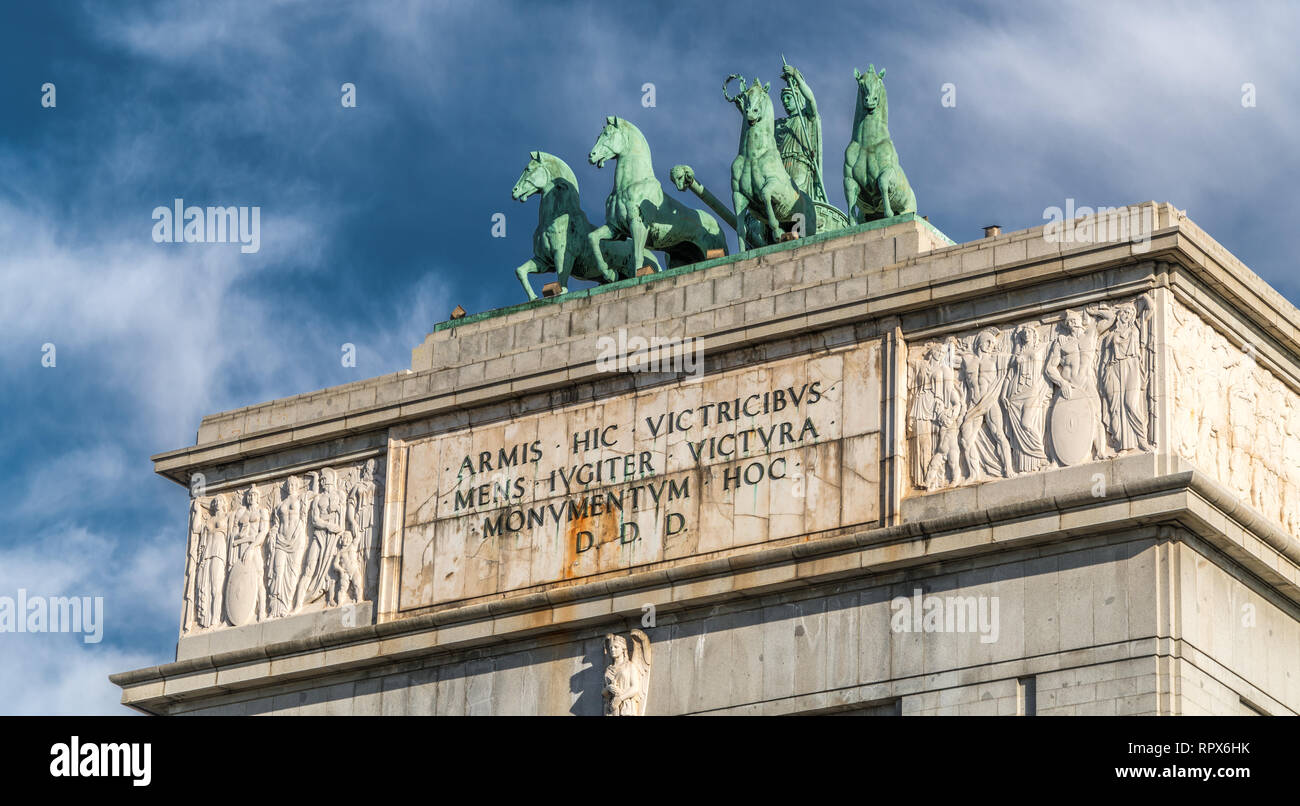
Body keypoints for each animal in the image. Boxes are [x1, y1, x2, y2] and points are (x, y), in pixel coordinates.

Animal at [504, 149, 650, 300]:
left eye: (528, 169)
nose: (514, 191)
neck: (555, 218)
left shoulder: (562, 254)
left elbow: (562, 276)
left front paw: (560, 292)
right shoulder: (543, 261)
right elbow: (520, 271)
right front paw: (533, 297)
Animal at [590, 113, 733, 276]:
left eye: (608, 134)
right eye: (599, 136)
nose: (591, 155)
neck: (628, 185)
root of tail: (717, 226)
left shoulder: (638, 224)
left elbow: (637, 256)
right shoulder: (615, 228)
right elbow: (592, 237)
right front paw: (607, 272)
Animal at [722, 76, 811, 252]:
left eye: (762, 95)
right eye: (745, 95)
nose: (751, 113)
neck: (752, 156)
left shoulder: (775, 186)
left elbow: (764, 193)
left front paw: (777, 231)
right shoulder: (738, 194)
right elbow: (741, 228)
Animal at [842, 64, 915, 222]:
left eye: (879, 81)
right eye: (861, 83)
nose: (870, 101)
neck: (867, 144)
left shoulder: (889, 171)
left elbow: (882, 182)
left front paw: (888, 213)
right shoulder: (849, 179)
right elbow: (850, 195)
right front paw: (852, 222)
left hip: (908, 209)